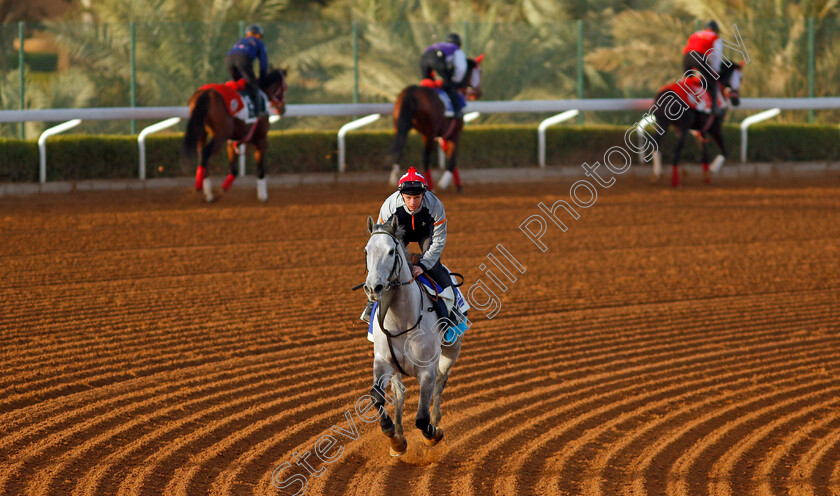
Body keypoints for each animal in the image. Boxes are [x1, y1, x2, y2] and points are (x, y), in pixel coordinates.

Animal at [182, 69, 288, 202]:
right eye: (285, 88)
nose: (283, 109)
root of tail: (206, 93)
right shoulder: (261, 140)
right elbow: (260, 167)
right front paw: (263, 195)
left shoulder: (233, 141)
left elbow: (234, 169)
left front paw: (224, 187)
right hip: (220, 135)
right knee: (205, 153)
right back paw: (202, 188)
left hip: (201, 133)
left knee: (201, 153)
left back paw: (208, 191)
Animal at [362, 215, 466, 456]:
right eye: (366, 250)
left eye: (391, 251)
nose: (373, 288)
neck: (402, 321)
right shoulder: (382, 362)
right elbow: (377, 396)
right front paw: (394, 438)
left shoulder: (427, 370)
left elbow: (421, 418)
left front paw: (433, 434)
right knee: (399, 391)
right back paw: (399, 433)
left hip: (452, 350)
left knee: (441, 381)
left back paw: (436, 421)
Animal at [384, 55, 482, 192]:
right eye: (479, 72)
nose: (479, 92)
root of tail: (412, 91)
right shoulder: (454, 134)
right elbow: (452, 159)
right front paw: (445, 184)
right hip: (428, 134)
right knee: (425, 158)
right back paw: (430, 186)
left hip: (400, 126)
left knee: (399, 147)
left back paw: (394, 178)